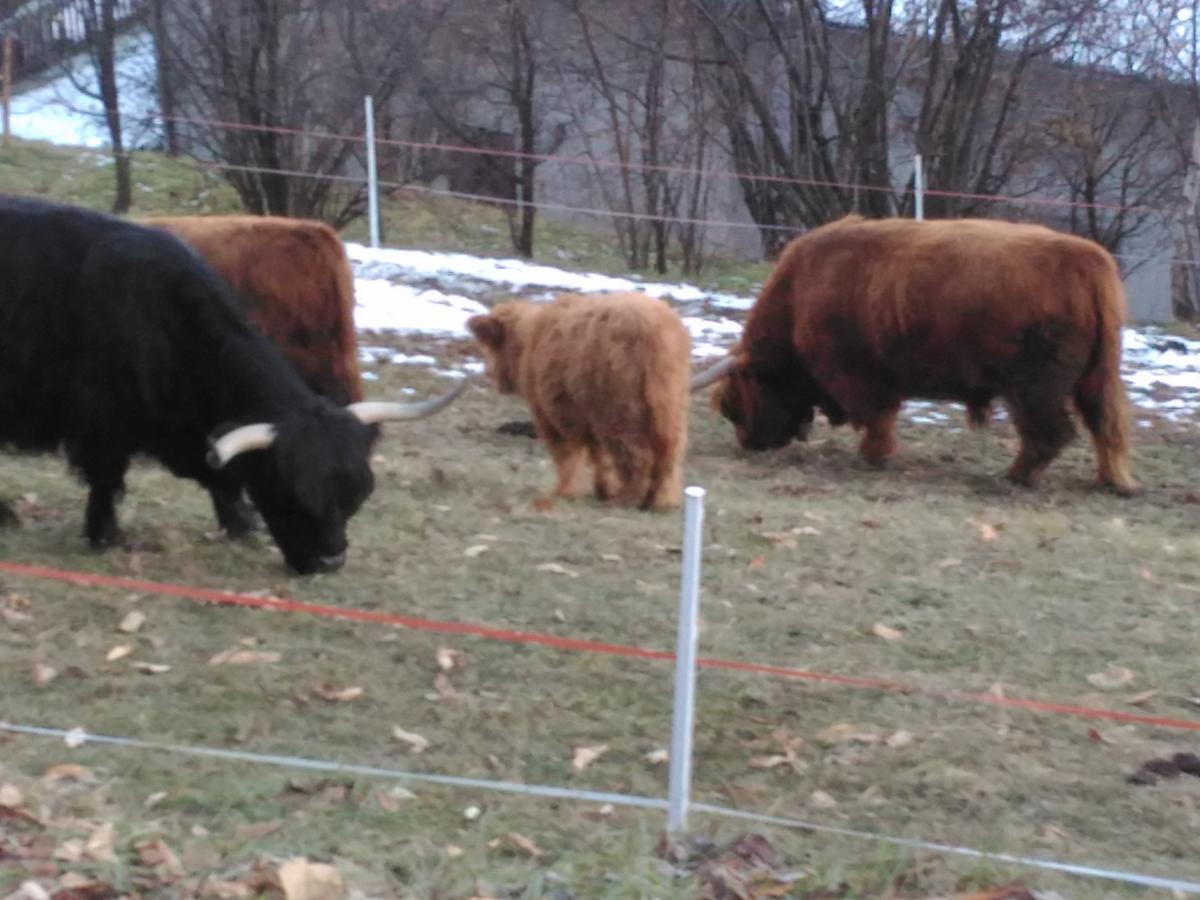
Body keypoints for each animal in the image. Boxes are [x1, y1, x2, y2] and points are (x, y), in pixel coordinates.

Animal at [468, 292, 696, 511]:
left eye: (491, 348)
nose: (491, 375)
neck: (527, 342)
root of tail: (655, 329)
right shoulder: (588, 419)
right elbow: (598, 455)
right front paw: (602, 489)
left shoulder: (552, 414)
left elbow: (567, 455)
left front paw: (566, 490)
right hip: (671, 404)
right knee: (670, 453)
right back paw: (661, 500)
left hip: (620, 411)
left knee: (638, 455)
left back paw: (628, 499)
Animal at [696, 216, 1132, 494]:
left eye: (735, 406)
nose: (750, 443)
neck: (800, 294)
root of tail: (1087, 259)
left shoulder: (858, 379)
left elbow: (876, 419)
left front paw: (874, 456)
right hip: (1094, 379)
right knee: (1104, 426)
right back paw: (1112, 481)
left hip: (1032, 387)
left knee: (1051, 432)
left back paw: (1016, 476)